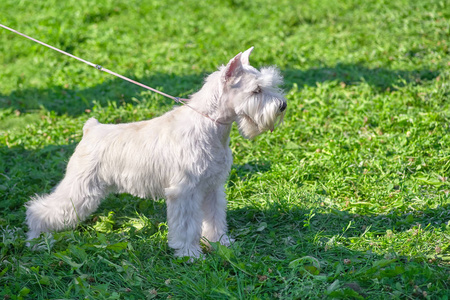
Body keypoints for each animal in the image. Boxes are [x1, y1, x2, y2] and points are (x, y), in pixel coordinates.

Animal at [24, 47, 286, 258]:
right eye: (256, 90)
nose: (282, 105)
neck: (210, 127)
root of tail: (91, 129)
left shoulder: (212, 188)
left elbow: (214, 219)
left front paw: (220, 243)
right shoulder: (184, 192)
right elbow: (187, 227)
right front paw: (190, 254)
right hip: (79, 190)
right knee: (41, 210)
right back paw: (37, 240)